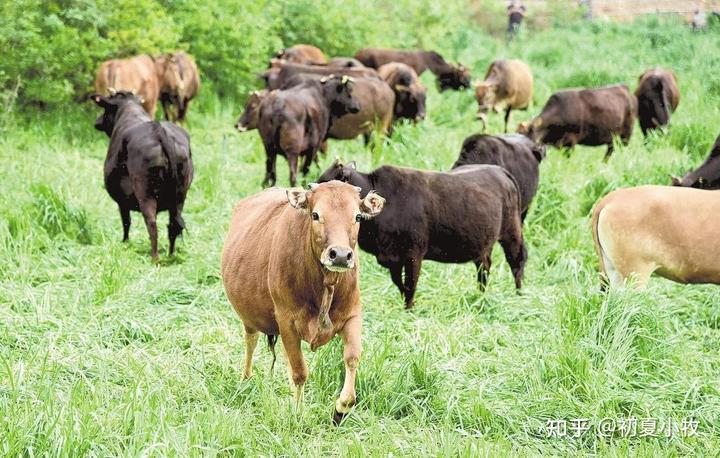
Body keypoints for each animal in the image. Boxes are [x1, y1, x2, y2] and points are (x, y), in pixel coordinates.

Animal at [91, 90, 193, 262]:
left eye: (105, 108)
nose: (97, 121)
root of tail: (158, 129)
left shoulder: (121, 200)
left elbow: (126, 222)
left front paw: (125, 242)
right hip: (180, 196)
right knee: (174, 224)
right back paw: (170, 255)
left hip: (145, 192)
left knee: (152, 223)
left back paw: (155, 258)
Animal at [221, 180, 386, 422]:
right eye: (315, 214)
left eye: (357, 216)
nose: (340, 255)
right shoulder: (286, 322)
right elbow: (299, 371)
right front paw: (297, 413)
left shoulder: (353, 315)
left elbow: (352, 358)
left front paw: (341, 409)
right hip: (249, 317)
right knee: (251, 342)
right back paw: (246, 379)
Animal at [318, 160, 524, 308]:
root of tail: (500, 171)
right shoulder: (392, 258)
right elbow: (399, 284)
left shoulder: (413, 254)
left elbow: (410, 284)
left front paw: (409, 308)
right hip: (482, 244)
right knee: (484, 267)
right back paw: (481, 295)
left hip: (511, 232)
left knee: (516, 261)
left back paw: (519, 295)